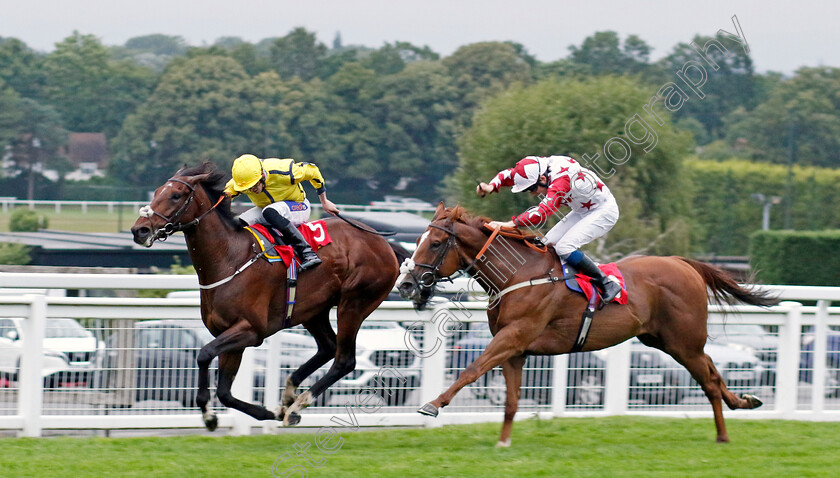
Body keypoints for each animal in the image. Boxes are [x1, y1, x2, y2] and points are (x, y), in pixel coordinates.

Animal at [131, 162, 404, 428]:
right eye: (157, 192)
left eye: (176, 195)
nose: (139, 230)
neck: (230, 257)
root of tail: (385, 244)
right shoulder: (229, 334)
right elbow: (224, 392)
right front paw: (266, 412)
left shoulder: (251, 330)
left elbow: (204, 354)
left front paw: (209, 415)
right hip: (314, 310)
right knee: (328, 346)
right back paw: (289, 395)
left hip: (354, 303)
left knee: (344, 360)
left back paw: (296, 407)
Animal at [398, 204, 776, 446]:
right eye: (416, 242)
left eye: (434, 243)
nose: (406, 284)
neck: (519, 275)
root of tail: (684, 264)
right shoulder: (515, 350)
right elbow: (511, 401)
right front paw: (503, 444)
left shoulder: (513, 336)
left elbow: (471, 370)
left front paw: (433, 404)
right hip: (665, 341)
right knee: (713, 371)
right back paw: (744, 402)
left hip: (684, 342)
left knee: (709, 380)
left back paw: (723, 434)